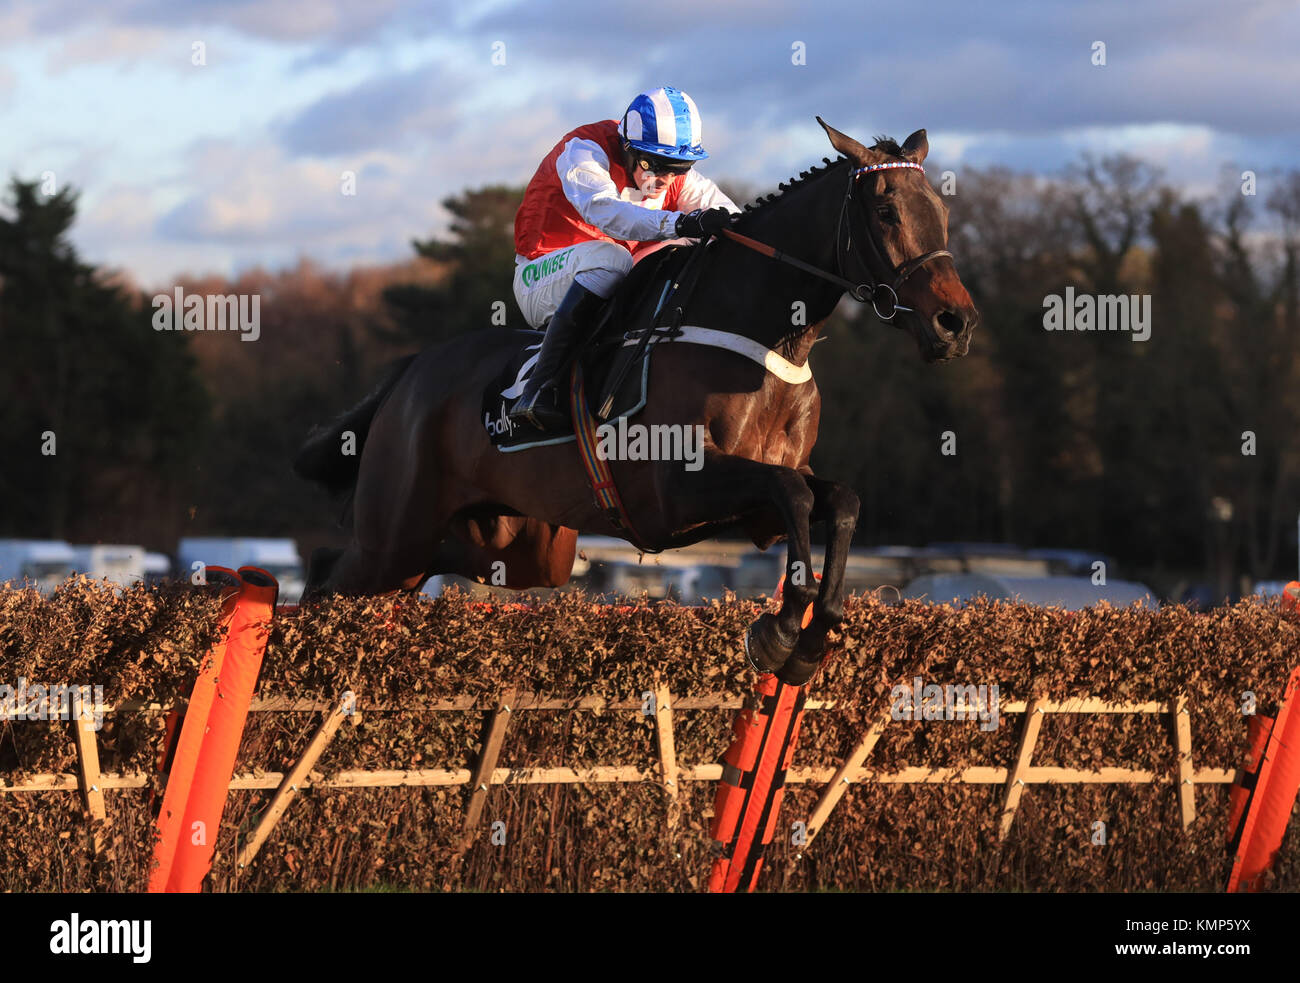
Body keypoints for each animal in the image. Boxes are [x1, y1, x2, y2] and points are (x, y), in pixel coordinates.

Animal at [292, 117, 977, 681]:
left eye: (941, 211)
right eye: (885, 212)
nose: (956, 323)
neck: (759, 335)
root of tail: (412, 371)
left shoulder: (757, 503)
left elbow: (837, 499)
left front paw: (811, 637)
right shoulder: (677, 489)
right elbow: (796, 492)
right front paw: (778, 632)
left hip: (508, 545)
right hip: (396, 532)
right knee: (329, 575)